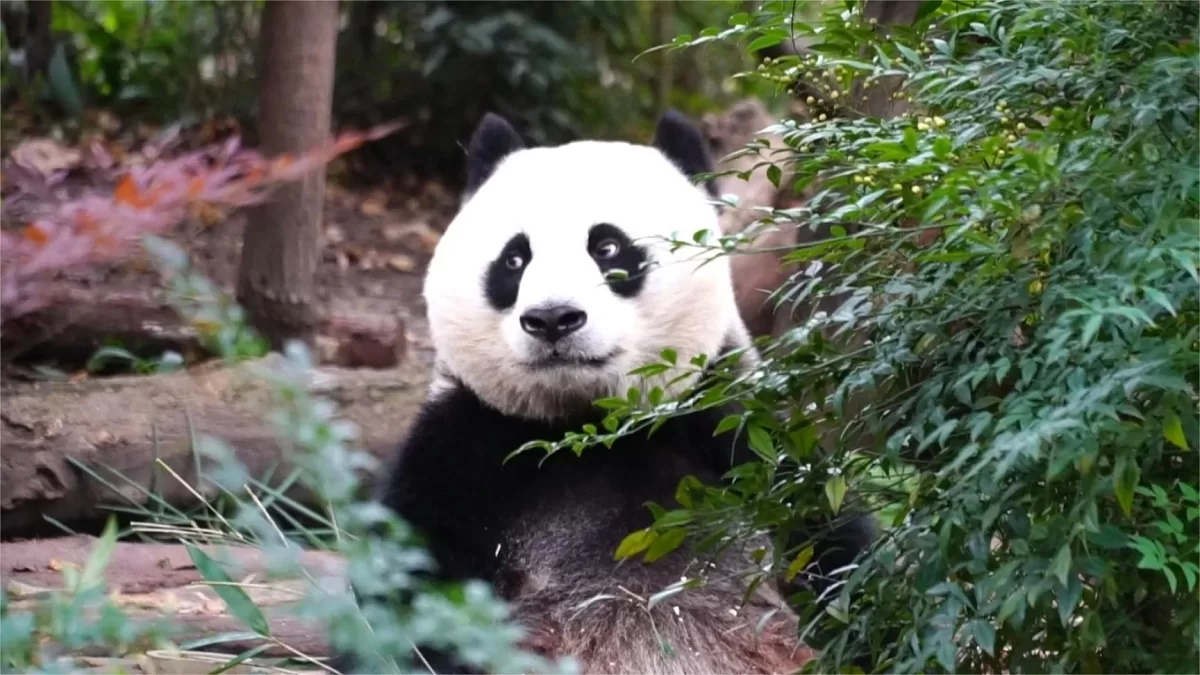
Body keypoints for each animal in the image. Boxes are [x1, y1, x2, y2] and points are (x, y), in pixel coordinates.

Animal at [337, 111, 878, 674]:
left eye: (608, 248)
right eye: (514, 260)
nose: (553, 318)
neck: (589, 428)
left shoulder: (735, 432)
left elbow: (829, 542)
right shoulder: (466, 445)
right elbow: (411, 586)